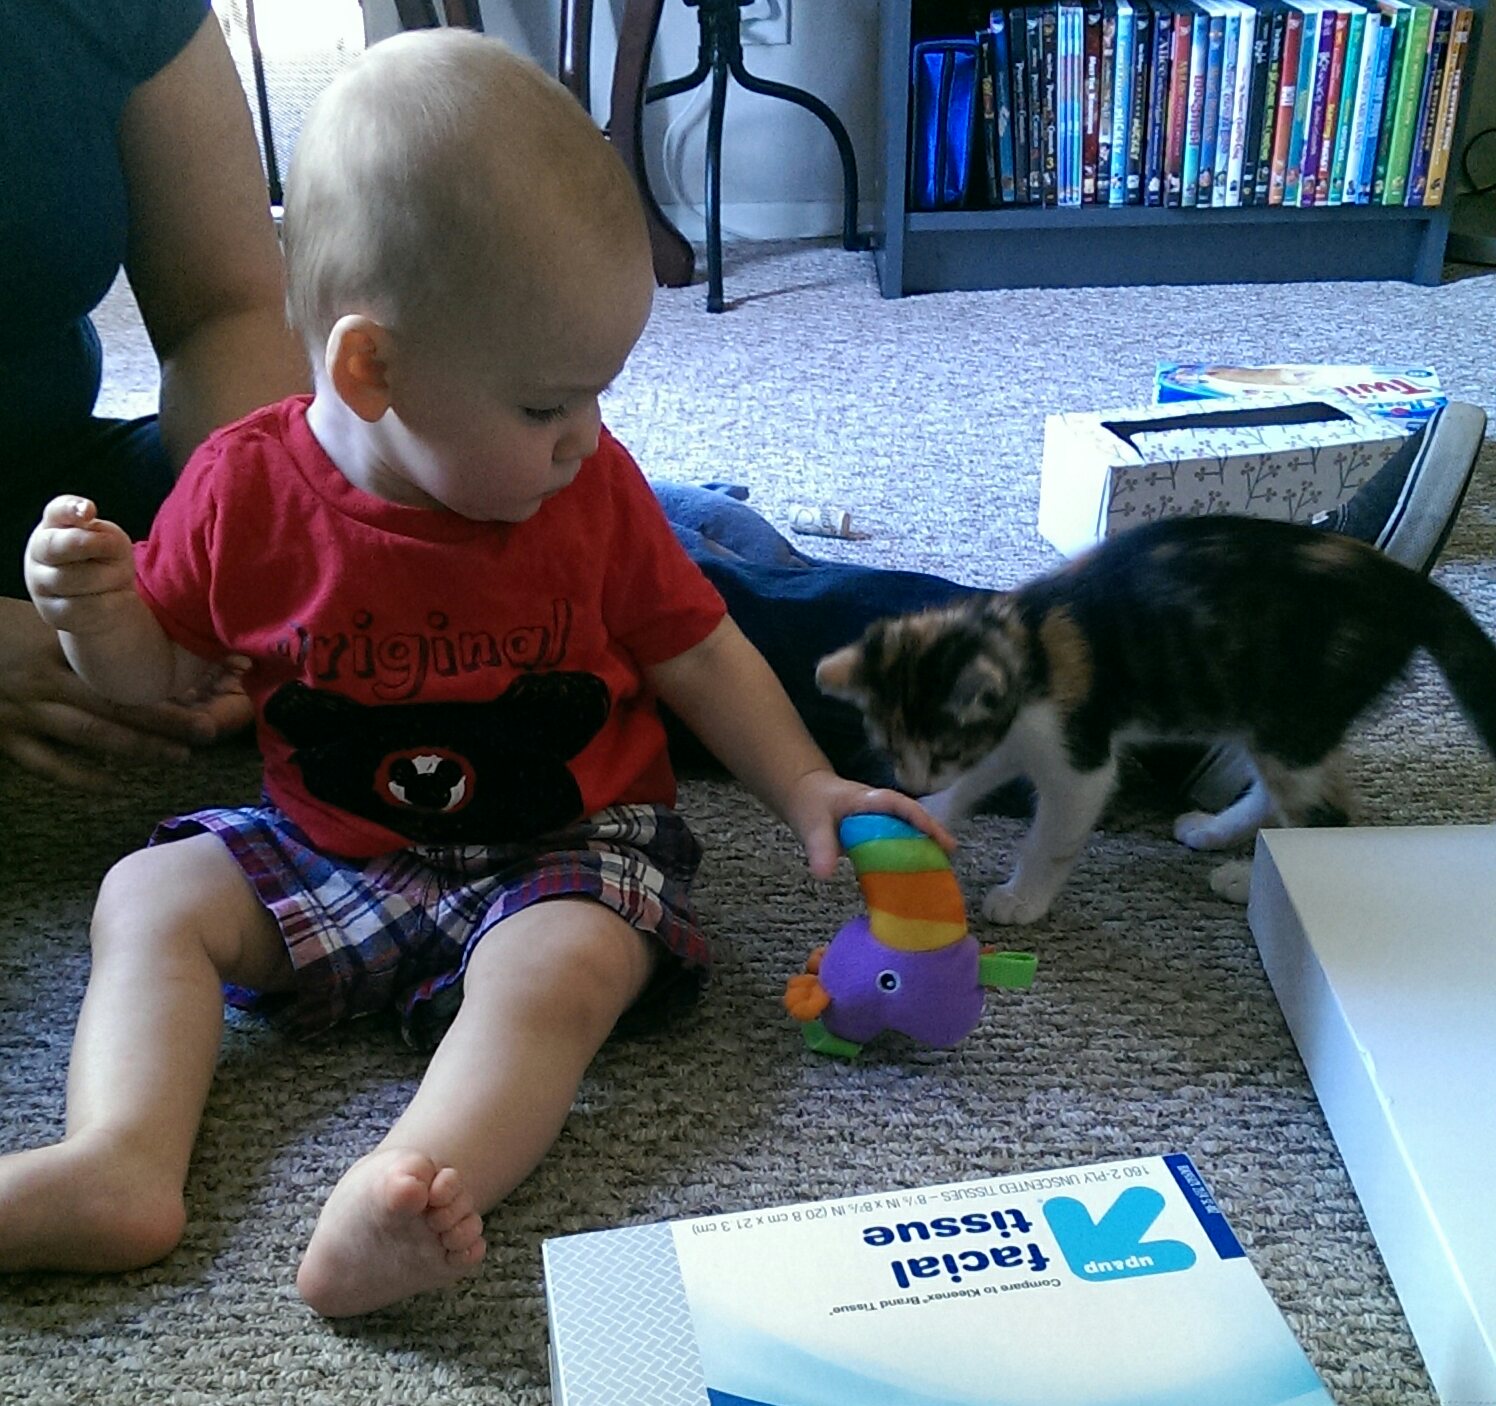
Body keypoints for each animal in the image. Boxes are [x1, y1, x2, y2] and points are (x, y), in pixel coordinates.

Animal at [815, 514, 1496, 925]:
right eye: (892, 749)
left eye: (940, 751)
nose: (915, 781)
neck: (1028, 641)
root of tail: (1411, 592)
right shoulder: (1014, 734)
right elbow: (985, 777)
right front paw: (932, 813)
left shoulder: (1078, 749)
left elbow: (1054, 833)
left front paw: (1022, 898)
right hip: (1265, 712)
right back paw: (1215, 832)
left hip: (1294, 711)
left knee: (1327, 816)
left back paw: (1252, 885)